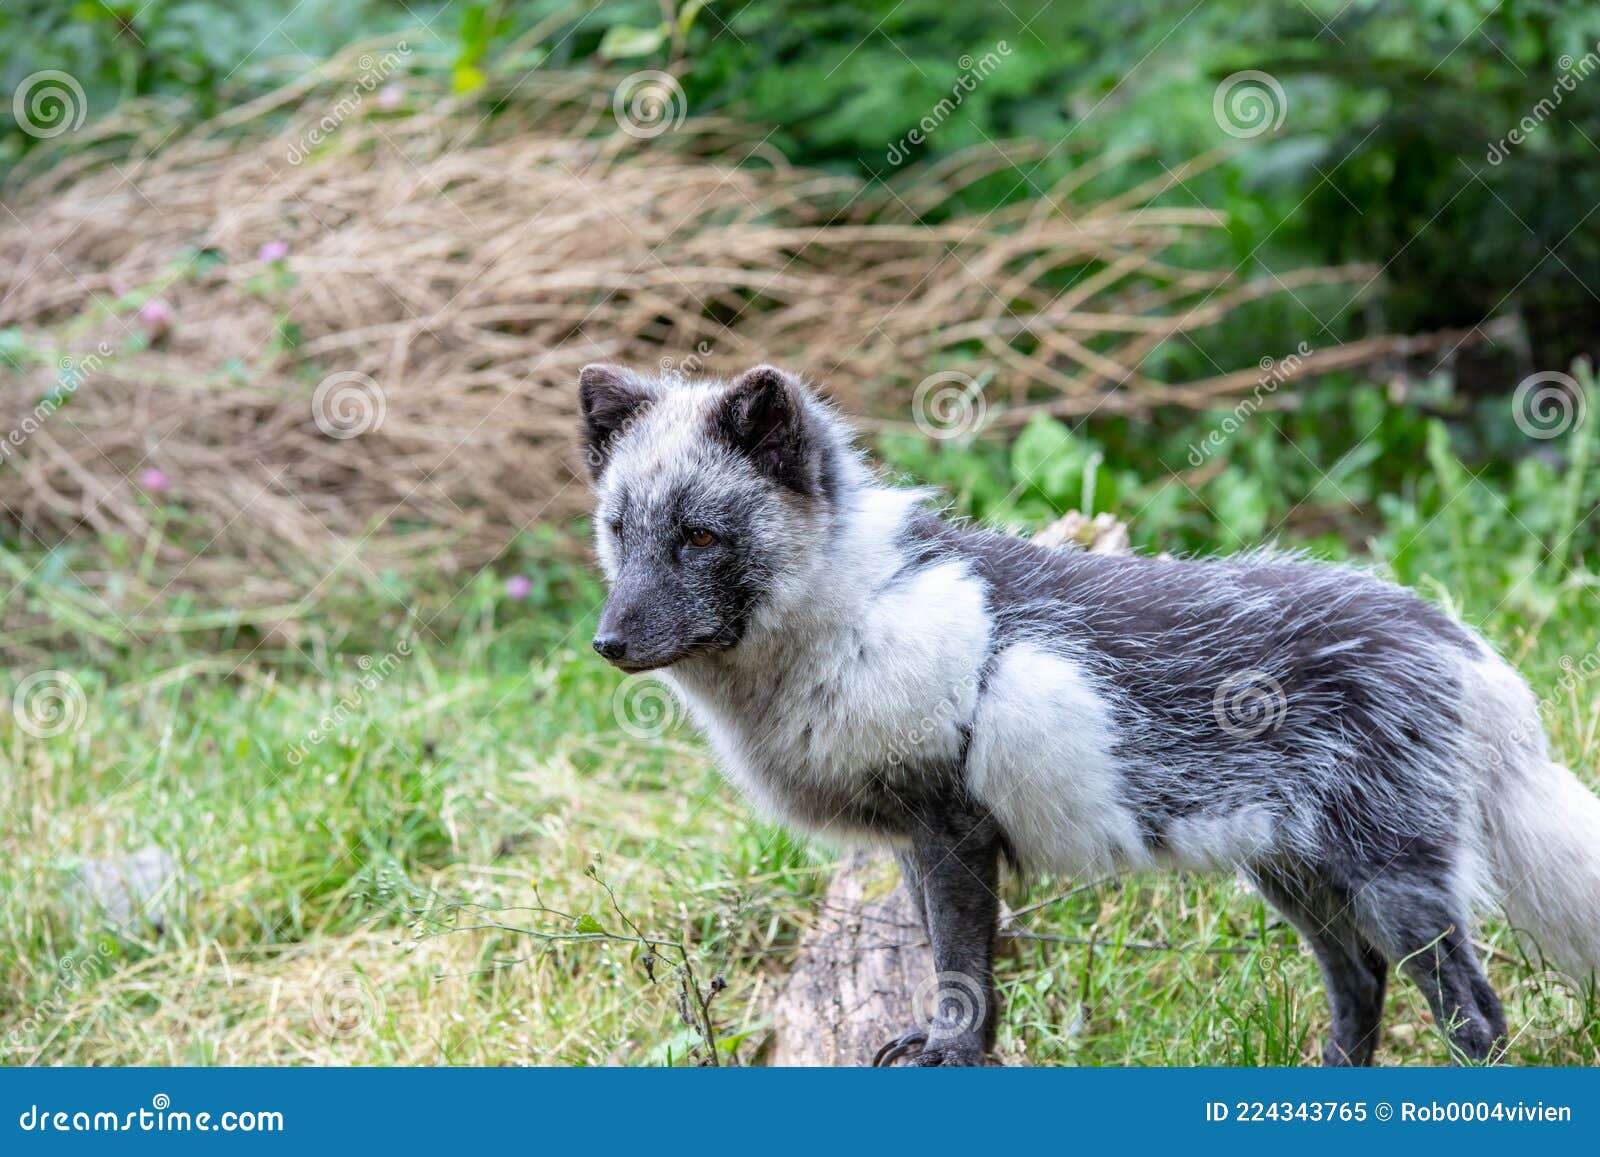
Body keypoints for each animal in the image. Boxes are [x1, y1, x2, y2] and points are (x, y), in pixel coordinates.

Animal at [579, 361, 1600, 1068]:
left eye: (700, 536)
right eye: (620, 532)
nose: (609, 643)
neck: (857, 610)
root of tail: (1458, 639)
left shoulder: (953, 829)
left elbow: (962, 969)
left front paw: (951, 1054)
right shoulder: (915, 842)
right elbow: (952, 965)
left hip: (1395, 883)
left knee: (1475, 1013)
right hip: (1294, 877)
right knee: (1360, 986)